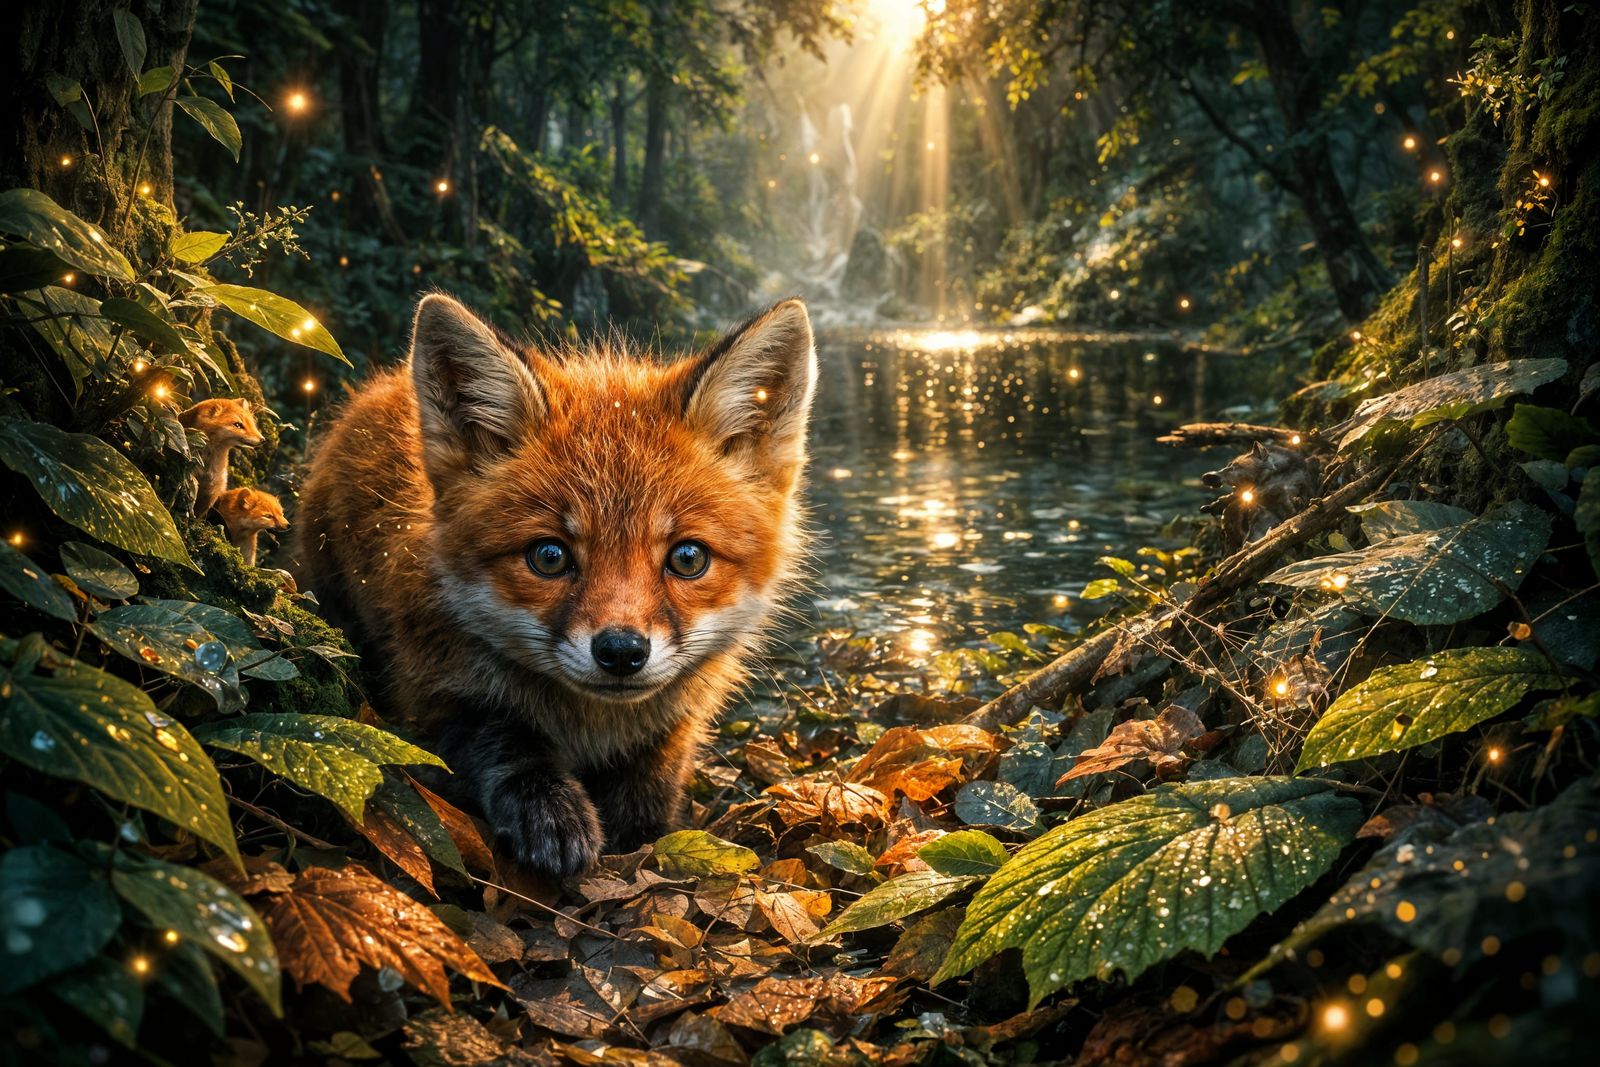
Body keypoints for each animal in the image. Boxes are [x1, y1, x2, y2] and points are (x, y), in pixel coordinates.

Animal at [294, 293, 816, 877]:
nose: (621, 651)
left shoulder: (672, 729)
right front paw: (549, 810)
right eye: (549, 557)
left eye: (687, 558)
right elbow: (501, 739)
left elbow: (651, 799)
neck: (594, 725)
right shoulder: (427, 693)